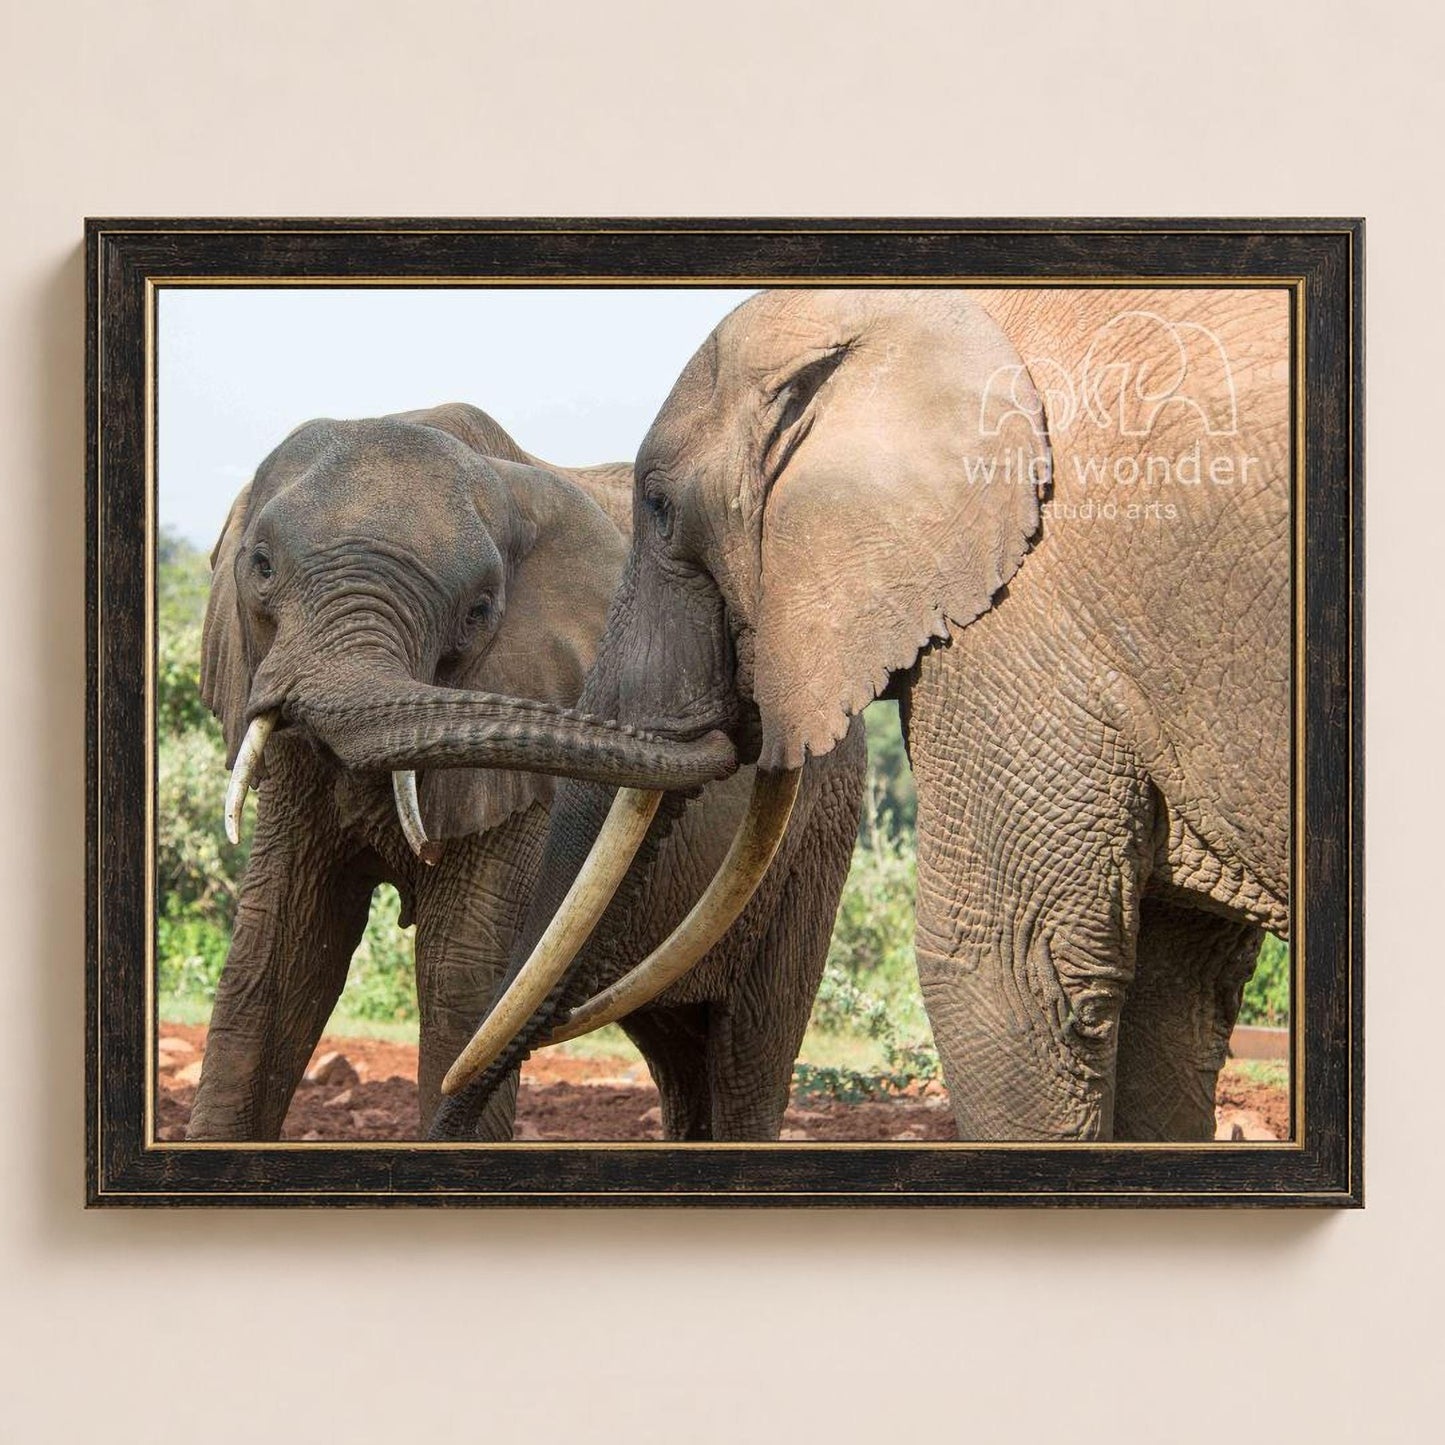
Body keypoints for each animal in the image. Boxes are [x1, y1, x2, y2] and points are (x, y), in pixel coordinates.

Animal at [185, 401, 864, 1142]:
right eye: (260, 566)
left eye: (478, 611)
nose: (740, 714)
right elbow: (274, 959)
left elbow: (464, 983)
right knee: (679, 1054)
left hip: (816, 838)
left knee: (748, 1056)